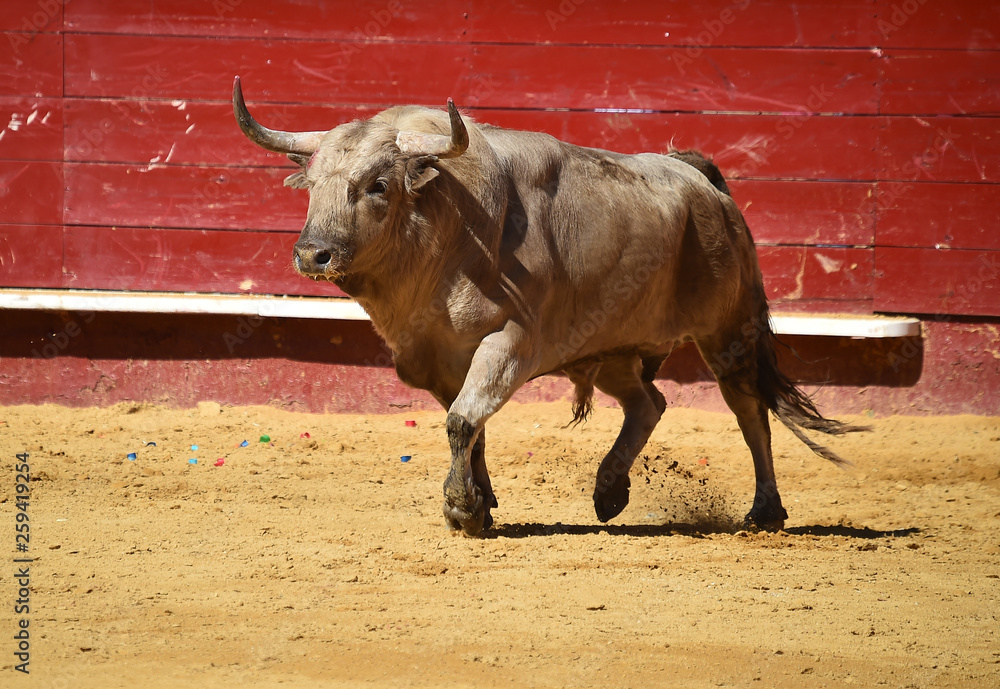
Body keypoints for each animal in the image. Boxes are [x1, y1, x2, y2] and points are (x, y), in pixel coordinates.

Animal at [230, 76, 864, 536]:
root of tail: (699, 179)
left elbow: (463, 419)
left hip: (728, 331)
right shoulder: (440, 359)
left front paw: (462, 510)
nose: (313, 253)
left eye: (378, 185)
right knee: (649, 403)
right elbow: (472, 426)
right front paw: (481, 501)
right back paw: (609, 490)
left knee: (749, 411)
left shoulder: (511, 342)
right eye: (312, 185)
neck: (449, 230)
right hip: (610, 346)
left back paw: (764, 511)